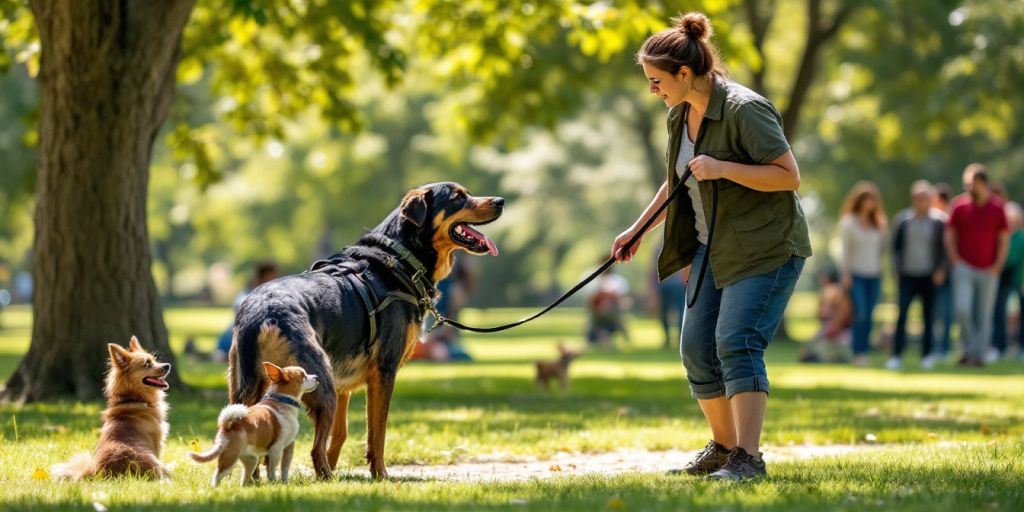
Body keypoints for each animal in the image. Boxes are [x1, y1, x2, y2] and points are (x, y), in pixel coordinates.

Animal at [53, 335, 172, 479]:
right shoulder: (157, 443)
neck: (134, 399)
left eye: (154, 360)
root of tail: (100, 473)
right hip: (151, 460)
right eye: (147, 364)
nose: (167, 365)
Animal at [230, 182, 505, 477]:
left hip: (247, 386)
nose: (501, 201)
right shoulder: (384, 372)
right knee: (313, 449)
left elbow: (340, 433)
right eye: (458, 196)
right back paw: (326, 478)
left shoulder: (343, 382)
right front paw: (380, 475)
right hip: (318, 382)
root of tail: (262, 313)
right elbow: (377, 433)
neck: (402, 257)